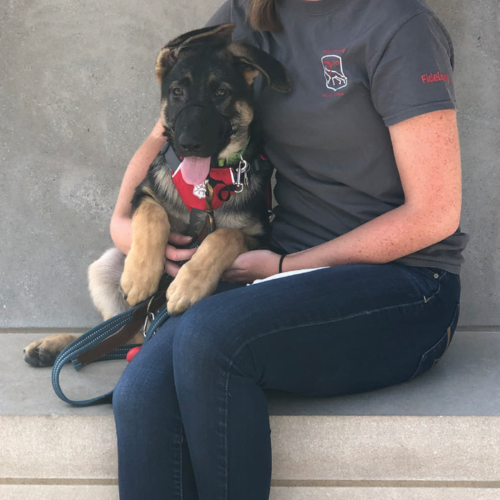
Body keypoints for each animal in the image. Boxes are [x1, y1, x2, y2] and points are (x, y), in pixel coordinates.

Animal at [23, 23, 292, 368]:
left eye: (221, 93)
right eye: (177, 92)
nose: (188, 143)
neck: (206, 185)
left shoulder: (259, 237)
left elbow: (224, 236)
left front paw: (188, 285)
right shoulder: (143, 195)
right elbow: (154, 215)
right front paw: (140, 276)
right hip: (104, 267)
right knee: (116, 333)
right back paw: (56, 346)